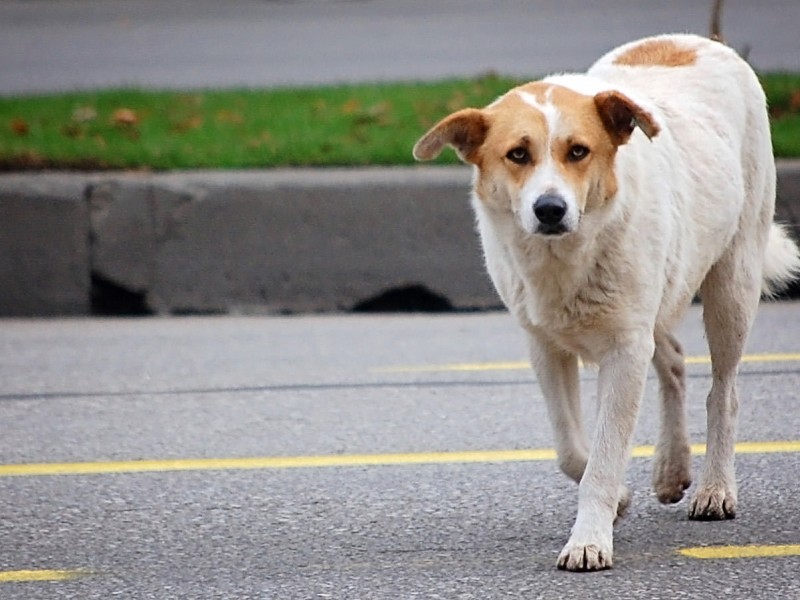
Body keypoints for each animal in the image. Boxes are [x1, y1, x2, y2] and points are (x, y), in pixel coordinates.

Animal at [412, 34, 800, 572]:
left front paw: (589, 539)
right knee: (673, 360)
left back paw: (715, 489)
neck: (565, 259)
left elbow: (603, 455)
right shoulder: (545, 347)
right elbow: (572, 451)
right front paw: (618, 499)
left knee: (724, 392)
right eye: (517, 154)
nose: (550, 209)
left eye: (578, 151)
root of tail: (696, 39)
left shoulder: (624, 350)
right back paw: (671, 468)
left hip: (732, 283)